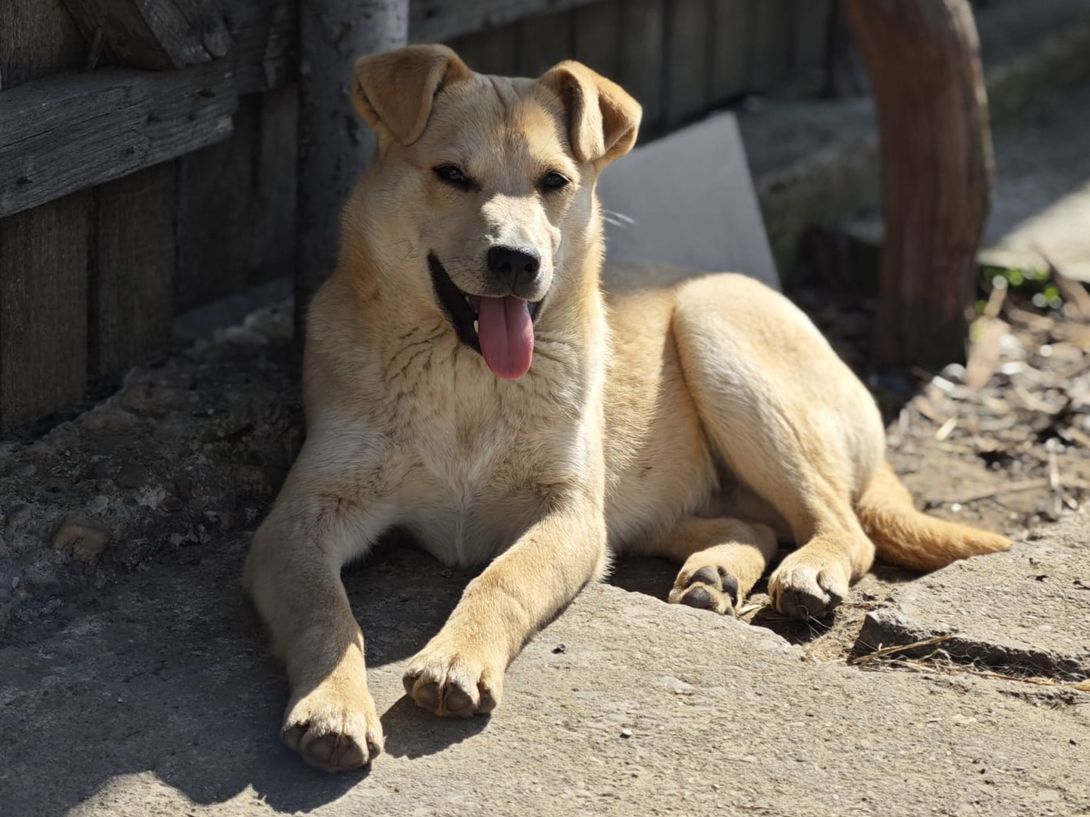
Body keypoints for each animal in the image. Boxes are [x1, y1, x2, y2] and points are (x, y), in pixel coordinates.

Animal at [243, 44, 1011, 772]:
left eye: (554, 182)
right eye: (451, 174)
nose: (517, 261)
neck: (467, 378)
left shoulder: (570, 516)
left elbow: (501, 580)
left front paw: (456, 658)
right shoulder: (301, 519)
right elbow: (325, 611)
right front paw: (333, 704)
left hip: (712, 330)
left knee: (843, 525)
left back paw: (805, 571)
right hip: (655, 493)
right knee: (755, 523)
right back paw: (716, 573)